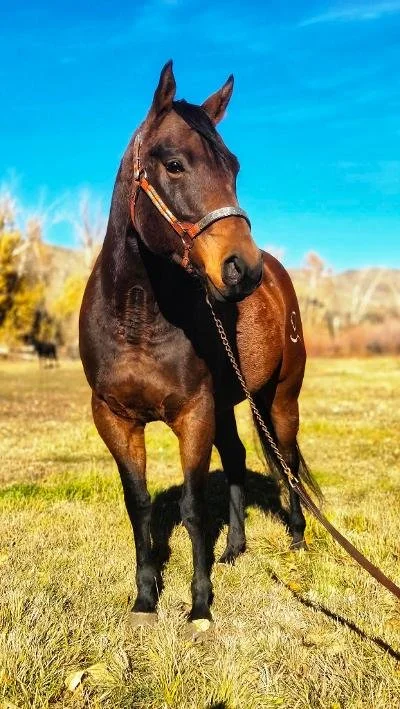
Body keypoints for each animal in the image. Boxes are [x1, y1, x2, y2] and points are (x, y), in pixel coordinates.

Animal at [79, 61, 321, 627]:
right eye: (174, 164)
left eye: (234, 167)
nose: (242, 269)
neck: (139, 319)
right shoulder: (115, 419)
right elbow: (140, 505)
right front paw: (146, 600)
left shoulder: (194, 413)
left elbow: (192, 507)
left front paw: (199, 608)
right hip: (231, 403)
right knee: (235, 459)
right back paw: (234, 549)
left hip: (280, 399)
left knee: (288, 460)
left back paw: (298, 541)